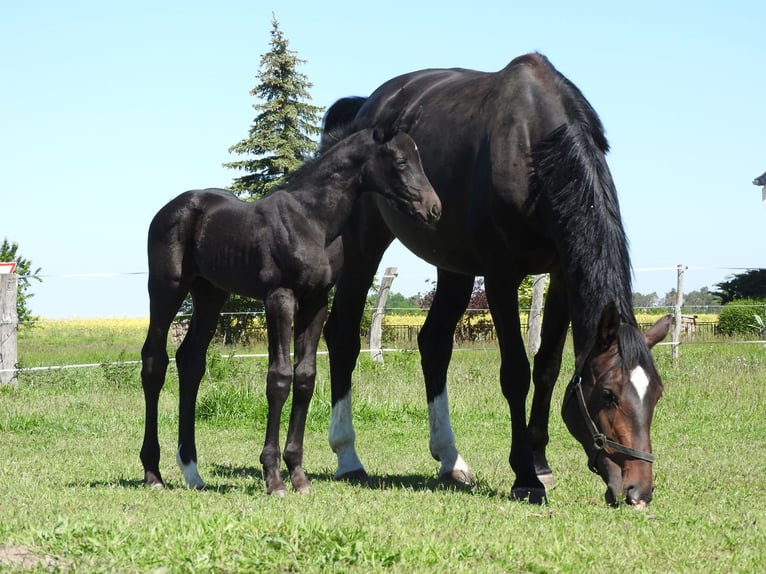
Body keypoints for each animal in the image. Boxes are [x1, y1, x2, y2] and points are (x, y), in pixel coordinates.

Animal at [139, 127, 441, 496]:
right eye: (400, 161)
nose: (434, 208)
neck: (312, 221)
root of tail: (170, 209)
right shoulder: (279, 298)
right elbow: (280, 378)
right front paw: (273, 478)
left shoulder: (316, 302)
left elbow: (306, 378)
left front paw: (298, 474)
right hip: (166, 288)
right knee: (154, 361)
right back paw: (153, 473)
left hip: (210, 294)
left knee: (190, 362)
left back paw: (192, 471)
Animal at [320, 53, 671, 507]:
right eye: (608, 394)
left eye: (656, 393)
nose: (638, 491)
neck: (534, 151)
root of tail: (367, 106)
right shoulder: (501, 275)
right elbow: (516, 373)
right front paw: (525, 474)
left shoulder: (560, 274)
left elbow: (547, 368)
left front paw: (541, 463)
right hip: (366, 244)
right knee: (343, 336)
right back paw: (348, 456)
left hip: (452, 265)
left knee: (434, 345)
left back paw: (450, 458)